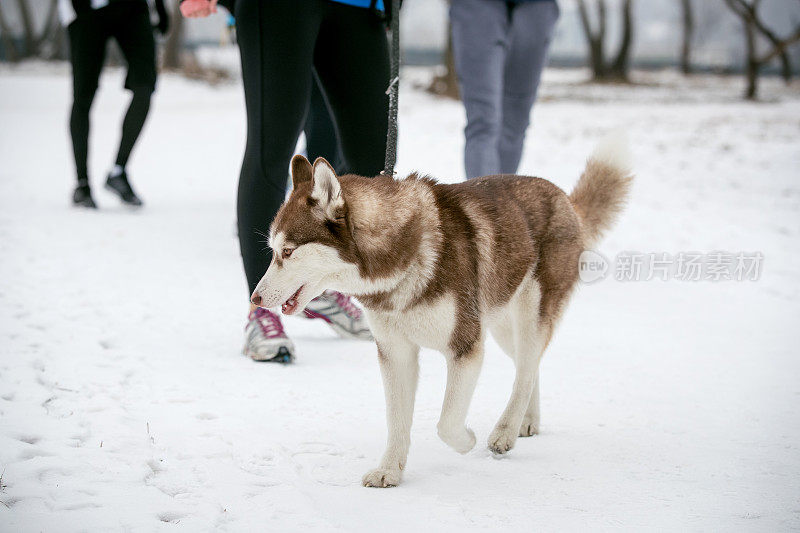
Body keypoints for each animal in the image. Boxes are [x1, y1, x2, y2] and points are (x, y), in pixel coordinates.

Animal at [250, 136, 632, 486]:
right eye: (272, 250)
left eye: (287, 251)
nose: (254, 298)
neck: (402, 260)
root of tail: (565, 199)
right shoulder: (395, 353)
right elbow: (397, 420)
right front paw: (390, 470)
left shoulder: (466, 346)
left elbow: (446, 422)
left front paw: (467, 441)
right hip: (501, 323)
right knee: (530, 364)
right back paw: (526, 420)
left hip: (530, 313)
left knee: (525, 370)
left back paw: (504, 430)